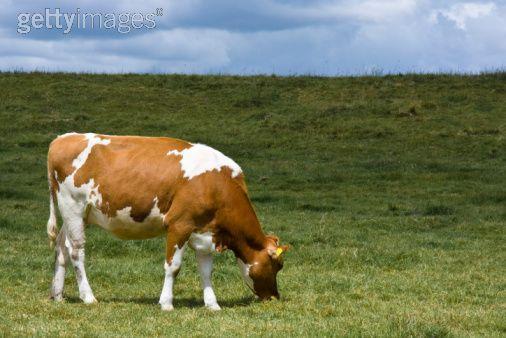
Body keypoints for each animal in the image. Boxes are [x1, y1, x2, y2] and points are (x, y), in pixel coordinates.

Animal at [47, 133, 288, 312]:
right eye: (278, 265)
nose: (274, 297)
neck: (218, 184)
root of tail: (63, 138)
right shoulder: (179, 224)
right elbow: (173, 266)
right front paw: (166, 303)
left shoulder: (206, 231)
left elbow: (206, 270)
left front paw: (212, 304)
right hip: (73, 207)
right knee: (76, 251)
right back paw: (88, 296)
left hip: (79, 214)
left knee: (61, 247)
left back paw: (57, 295)